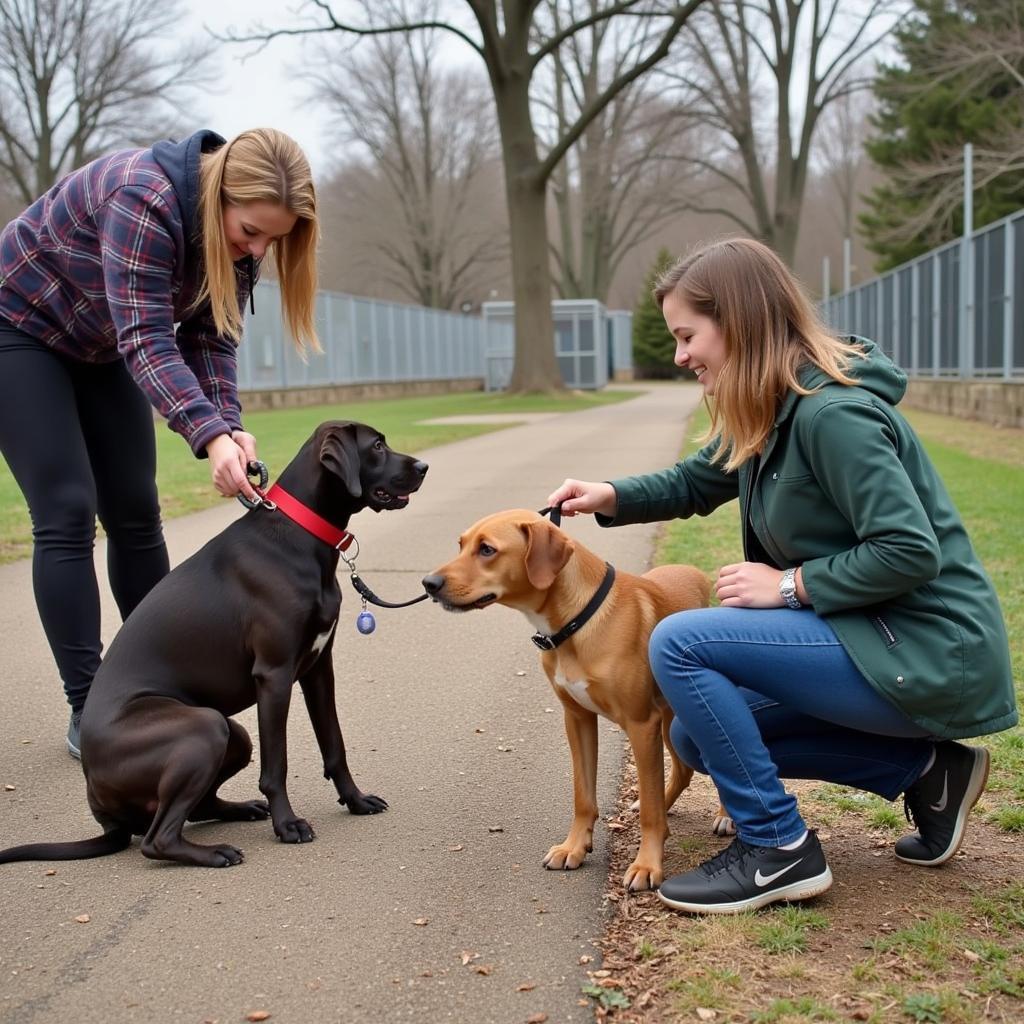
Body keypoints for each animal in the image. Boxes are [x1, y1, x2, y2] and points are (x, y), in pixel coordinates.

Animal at [0, 419, 423, 868]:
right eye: (377, 446)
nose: (424, 467)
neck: (299, 534)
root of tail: (96, 800)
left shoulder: (318, 669)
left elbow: (334, 745)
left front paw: (355, 800)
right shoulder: (274, 676)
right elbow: (276, 766)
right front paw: (287, 825)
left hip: (230, 732)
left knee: (195, 808)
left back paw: (240, 810)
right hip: (204, 728)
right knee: (157, 839)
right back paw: (215, 852)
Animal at [421, 509, 729, 888]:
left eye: (487, 549)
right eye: (461, 545)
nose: (429, 583)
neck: (578, 620)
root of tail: (699, 573)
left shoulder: (641, 724)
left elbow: (650, 812)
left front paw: (647, 864)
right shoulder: (578, 719)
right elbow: (584, 796)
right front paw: (575, 847)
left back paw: (726, 817)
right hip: (670, 717)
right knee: (682, 770)